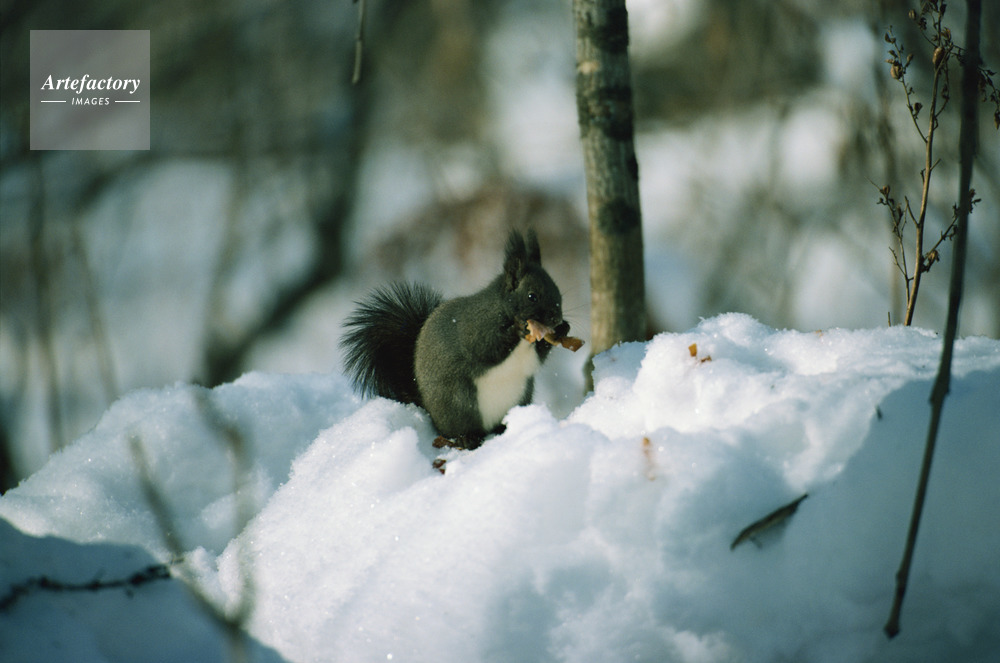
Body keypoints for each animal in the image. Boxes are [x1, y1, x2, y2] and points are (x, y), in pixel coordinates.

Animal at [340, 230, 573, 449]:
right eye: (532, 296)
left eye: (558, 292)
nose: (556, 318)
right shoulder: (475, 328)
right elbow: (486, 349)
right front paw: (516, 329)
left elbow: (535, 359)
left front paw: (563, 329)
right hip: (459, 401)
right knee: (456, 429)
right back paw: (467, 438)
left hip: (519, 397)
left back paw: (504, 427)